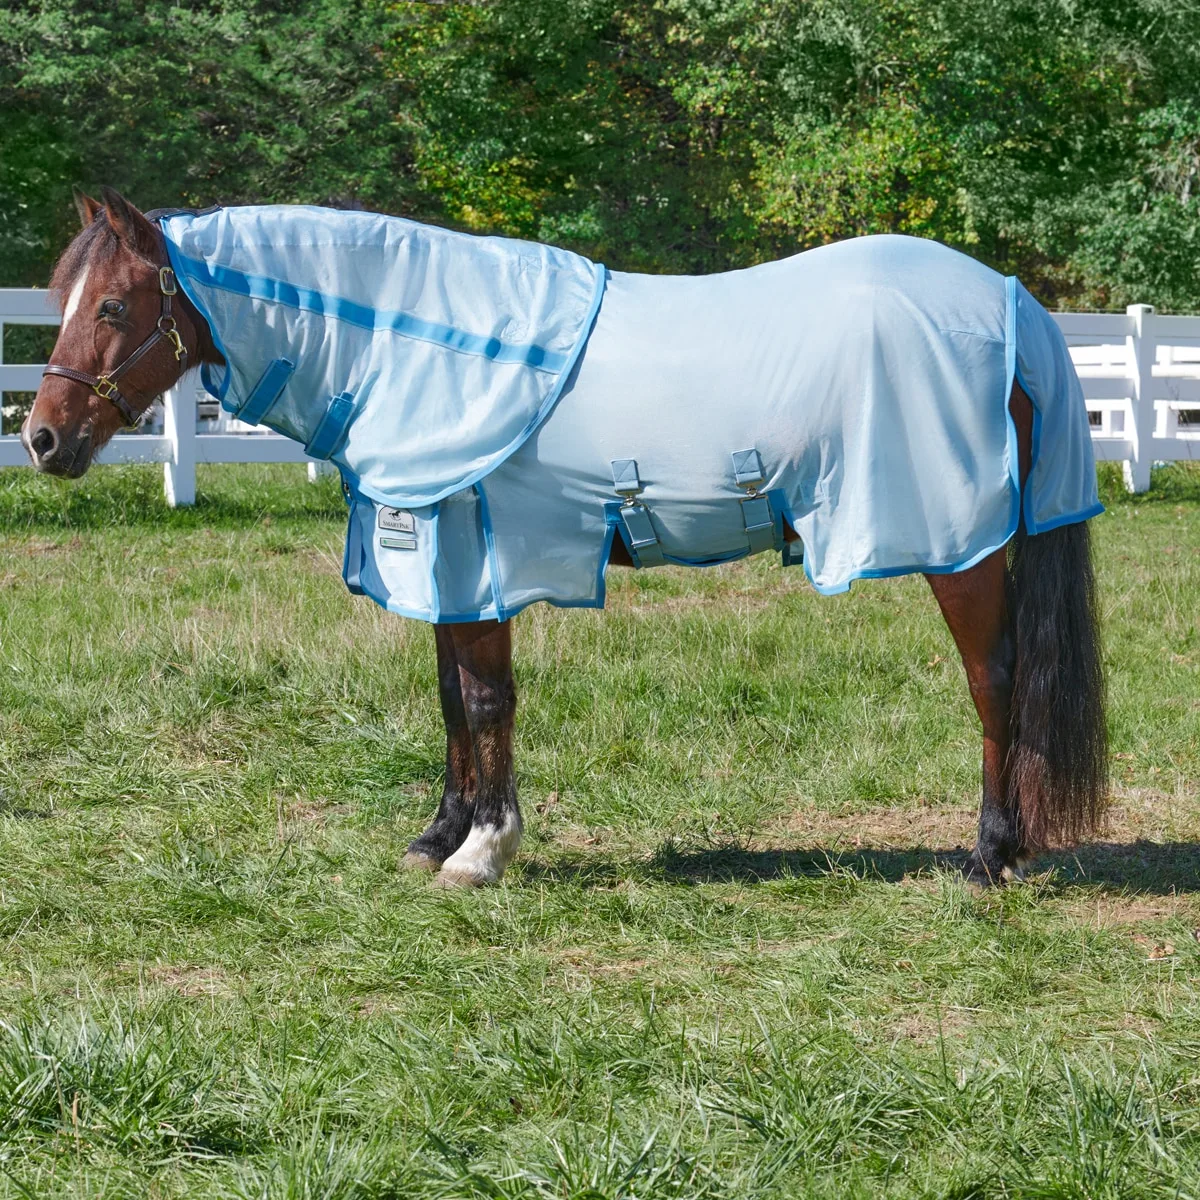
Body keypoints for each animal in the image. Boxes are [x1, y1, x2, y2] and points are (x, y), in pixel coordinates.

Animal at [23, 187, 1108, 889]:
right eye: (62, 297)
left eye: (112, 304)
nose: (42, 439)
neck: (408, 343)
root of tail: (1011, 303)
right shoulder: (443, 557)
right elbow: (452, 701)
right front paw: (437, 835)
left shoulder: (478, 552)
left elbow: (487, 700)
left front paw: (484, 850)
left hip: (964, 555)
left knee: (995, 682)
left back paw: (991, 854)